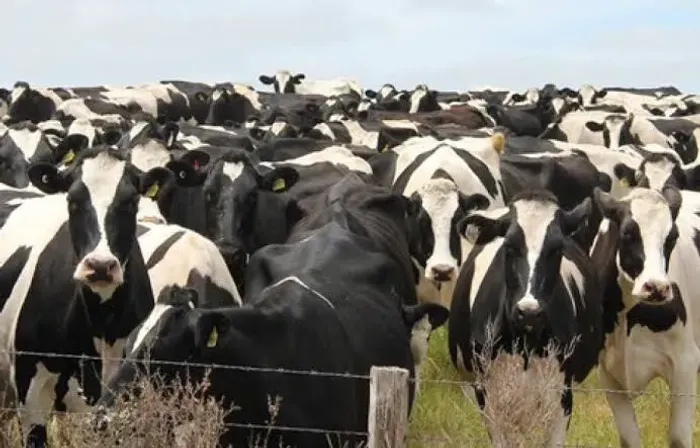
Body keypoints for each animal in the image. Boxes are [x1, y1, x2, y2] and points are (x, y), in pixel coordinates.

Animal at [449, 189, 602, 447]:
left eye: (557, 248)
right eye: (509, 246)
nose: (529, 311)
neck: (525, 348)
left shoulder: (561, 396)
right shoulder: (490, 396)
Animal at [590, 186, 700, 448]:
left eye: (672, 237)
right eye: (627, 233)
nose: (656, 287)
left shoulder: (685, 362)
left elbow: (678, 437)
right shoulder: (608, 374)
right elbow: (629, 439)